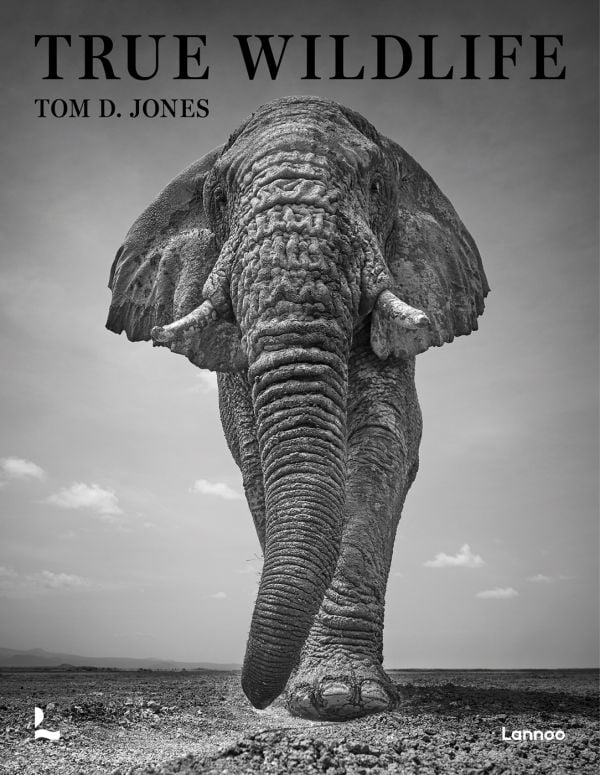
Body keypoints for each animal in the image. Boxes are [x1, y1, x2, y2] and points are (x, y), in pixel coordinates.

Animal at [106, 96, 489, 720]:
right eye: (218, 198)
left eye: (376, 185)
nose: (257, 696)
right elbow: (258, 463)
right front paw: (308, 696)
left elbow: (381, 452)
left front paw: (340, 700)